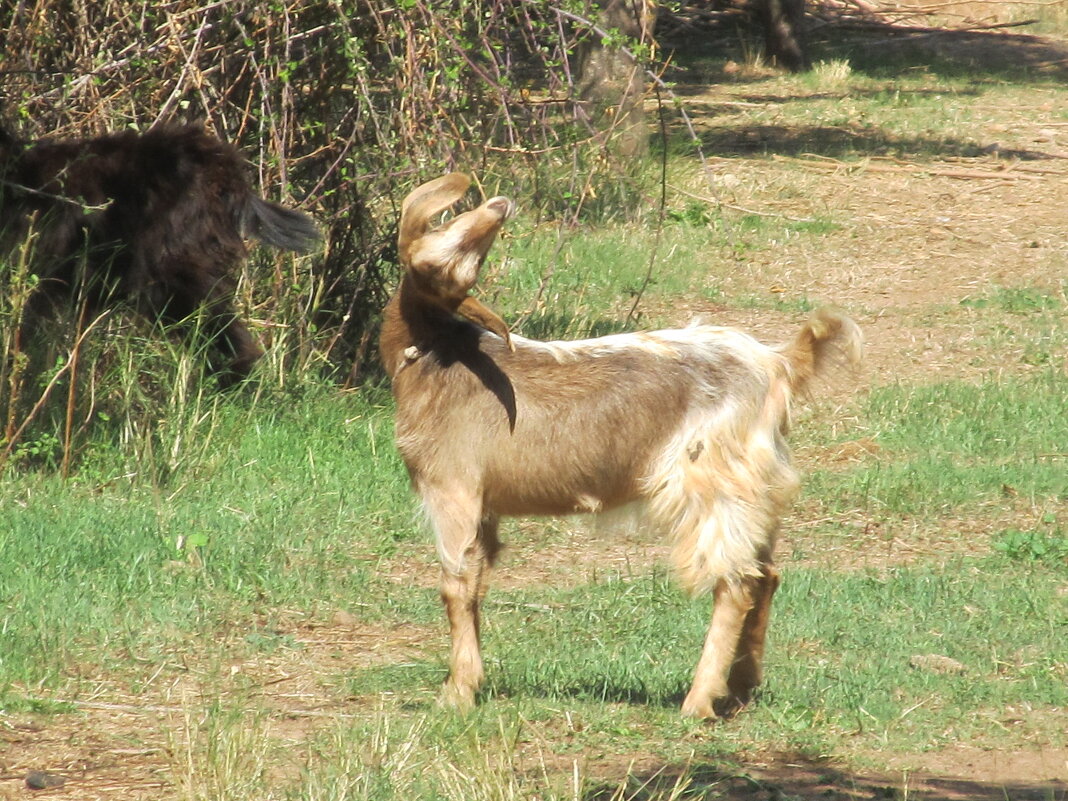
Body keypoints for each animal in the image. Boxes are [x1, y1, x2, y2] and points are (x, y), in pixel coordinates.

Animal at [380, 174, 862, 721]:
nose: (499, 204)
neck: (439, 358)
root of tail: (779, 363)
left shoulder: (453, 488)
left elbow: (456, 585)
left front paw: (456, 694)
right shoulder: (485, 506)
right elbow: (479, 580)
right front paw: (471, 680)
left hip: (714, 478)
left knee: (736, 581)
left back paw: (698, 701)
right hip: (757, 489)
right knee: (767, 573)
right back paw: (740, 688)